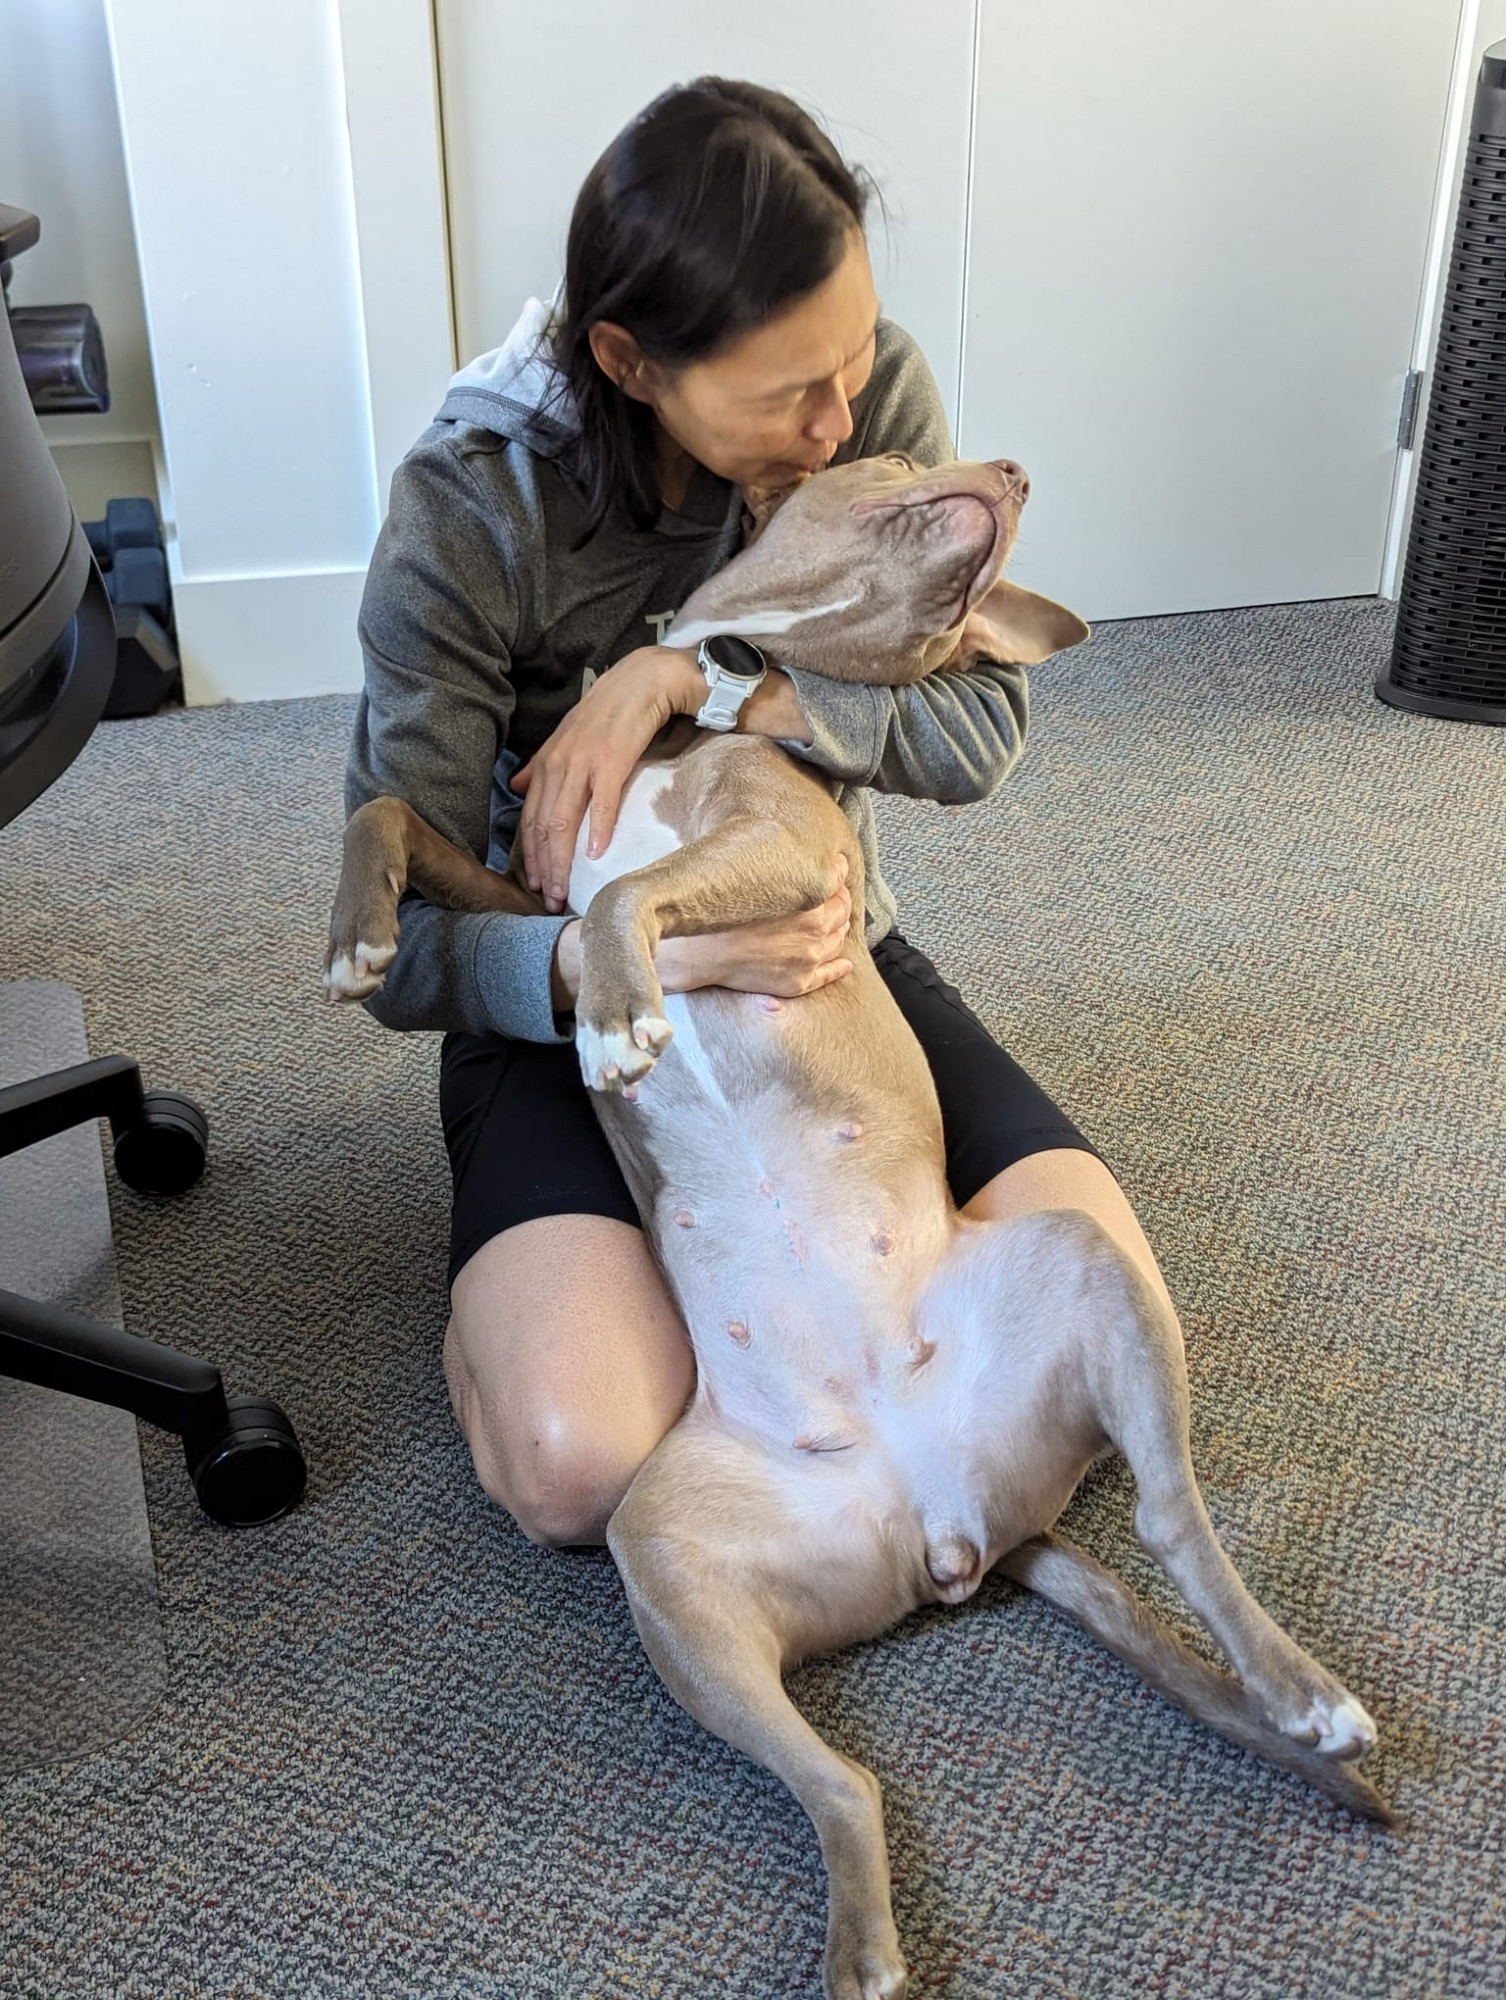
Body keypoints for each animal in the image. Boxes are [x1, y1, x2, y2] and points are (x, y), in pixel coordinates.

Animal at [326, 454, 1384, 2000]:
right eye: (885, 466)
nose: (1013, 467)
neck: (719, 686)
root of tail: (945, 1516)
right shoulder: (526, 886)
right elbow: (399, 820)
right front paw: (359, 937)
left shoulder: (774, 848)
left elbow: (628, 900)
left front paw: (627, 1013)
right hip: (672, 1560)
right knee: (847, 1783)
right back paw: (864, 1950)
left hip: (1075, 1261)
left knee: (1175, 1523)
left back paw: (1305, 1694)